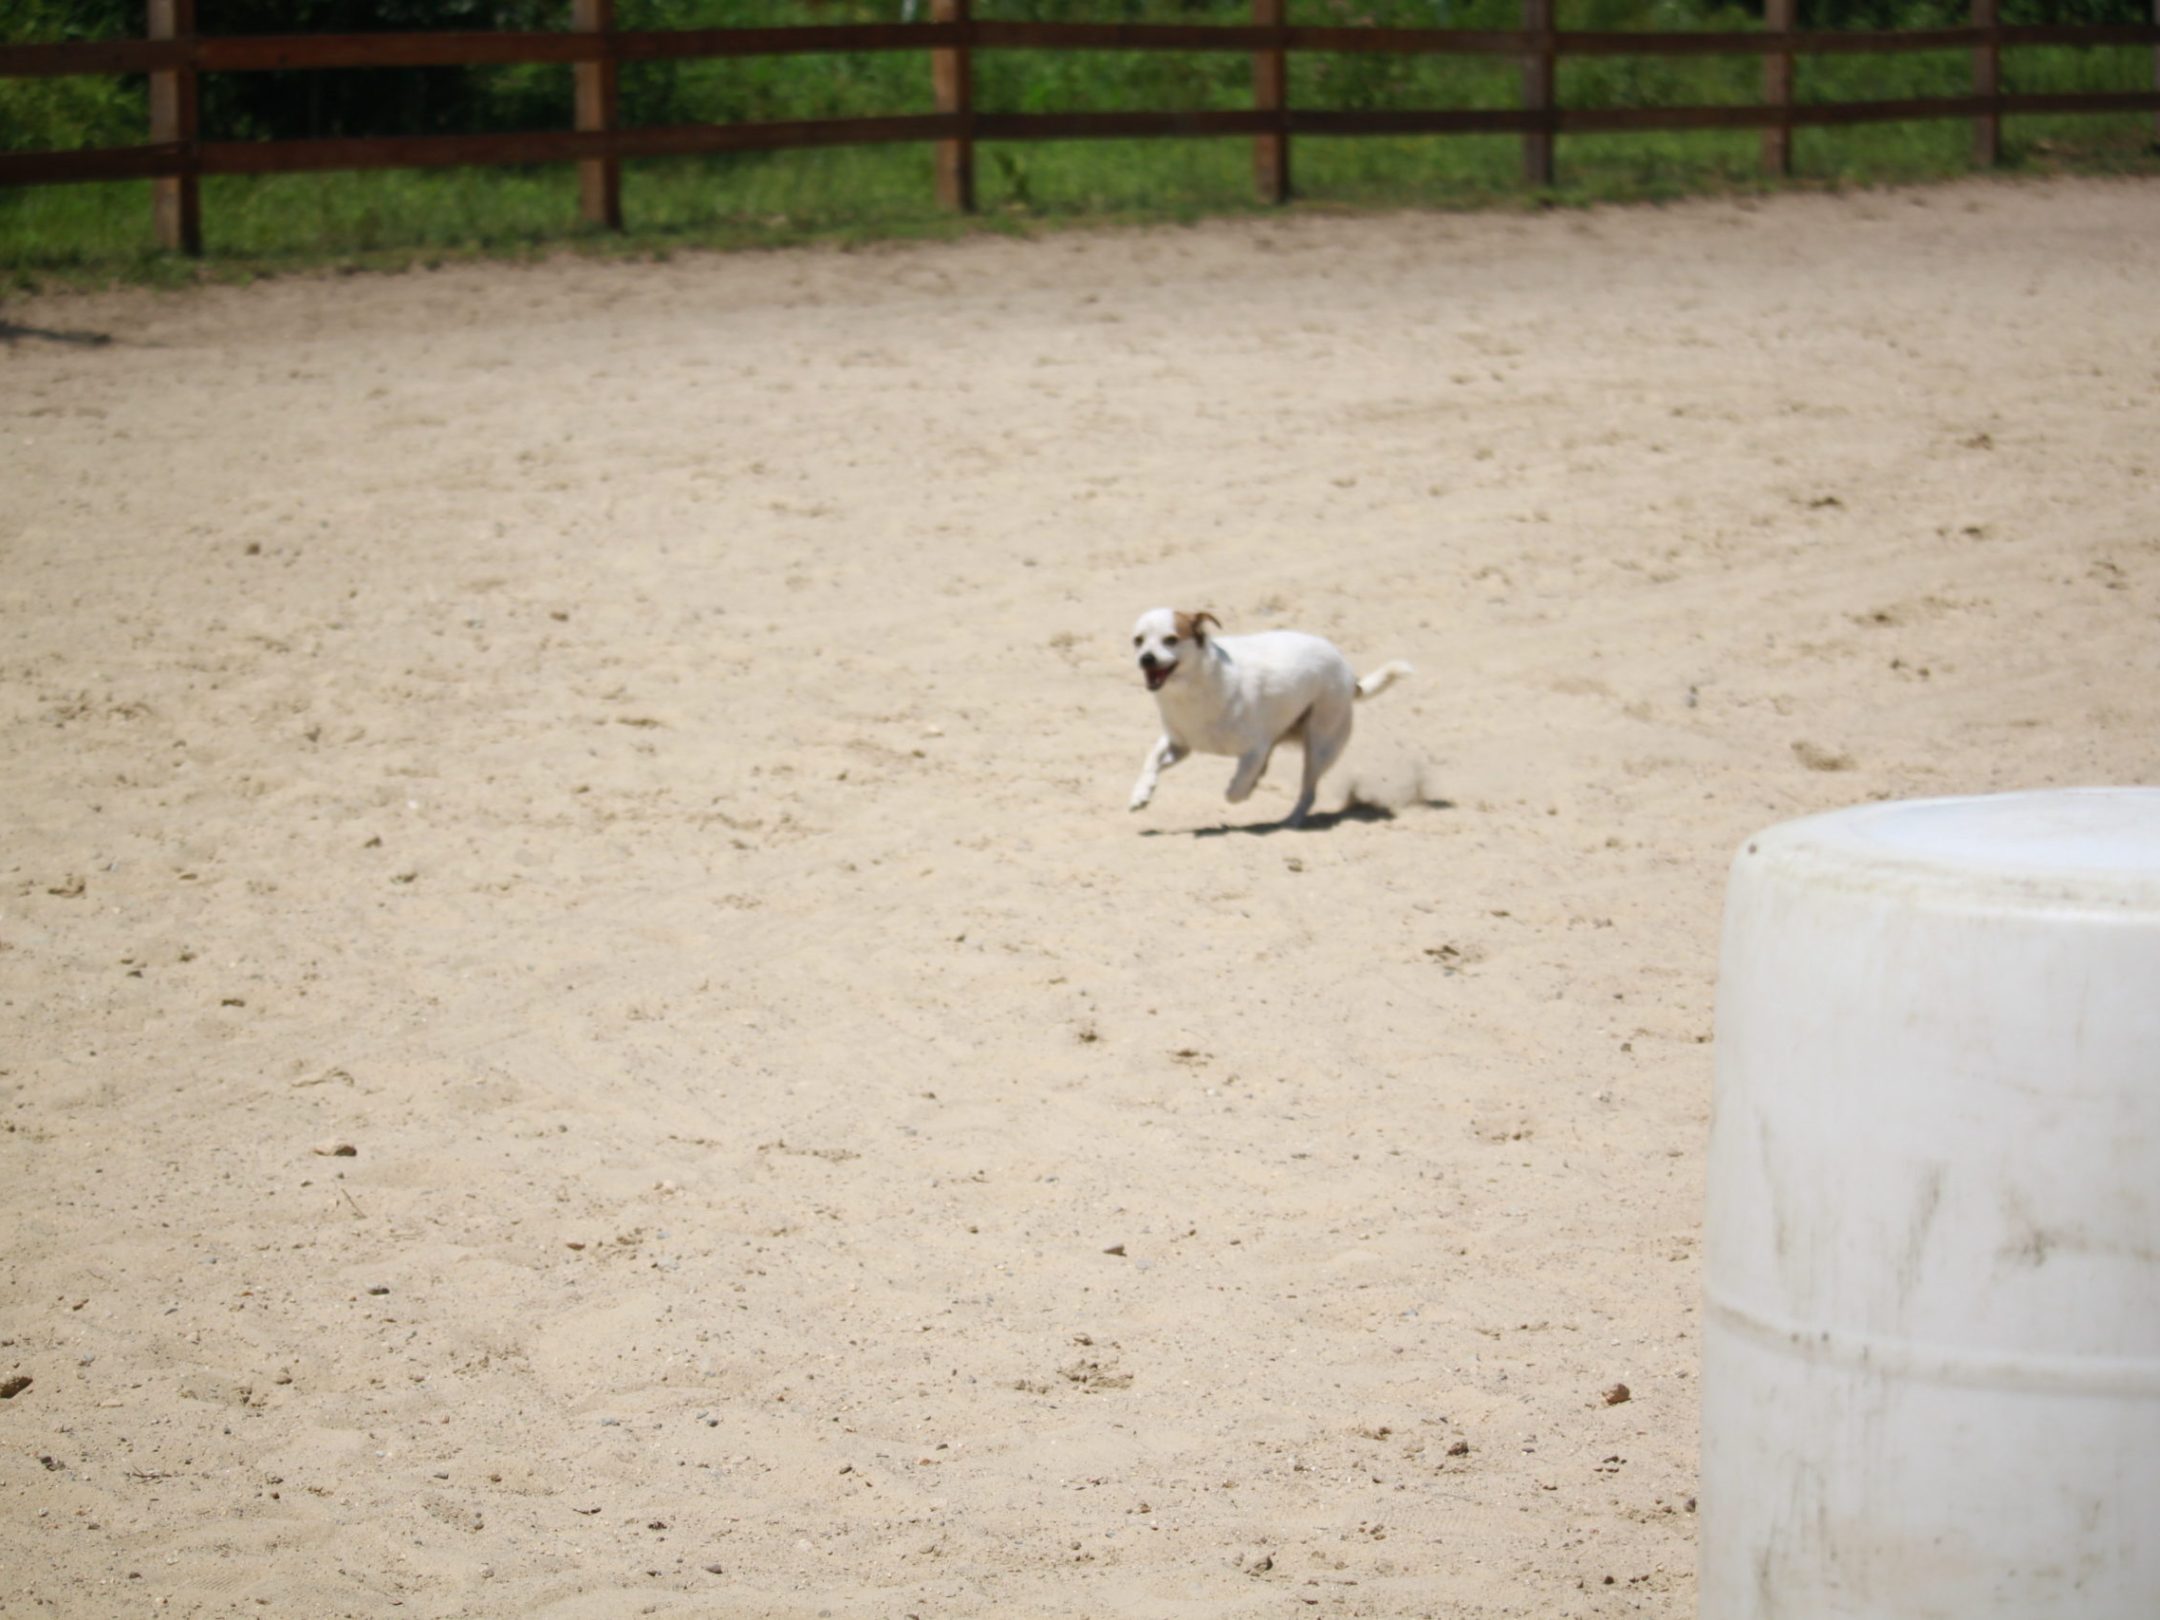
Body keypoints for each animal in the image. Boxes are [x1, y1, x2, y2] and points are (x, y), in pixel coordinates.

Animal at [1123, 613, 1408, 829]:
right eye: (1138, 640)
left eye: (1170, 639)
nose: (1146, 658)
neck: (1193, 688)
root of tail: (1350, 676)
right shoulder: (1179, 745)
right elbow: (1151, 760)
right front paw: (1141, 794)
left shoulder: (1254, 749)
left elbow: (1236, 788)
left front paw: (1240, 790)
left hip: (1319, 747)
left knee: (1308, 792)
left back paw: (1291, 822)